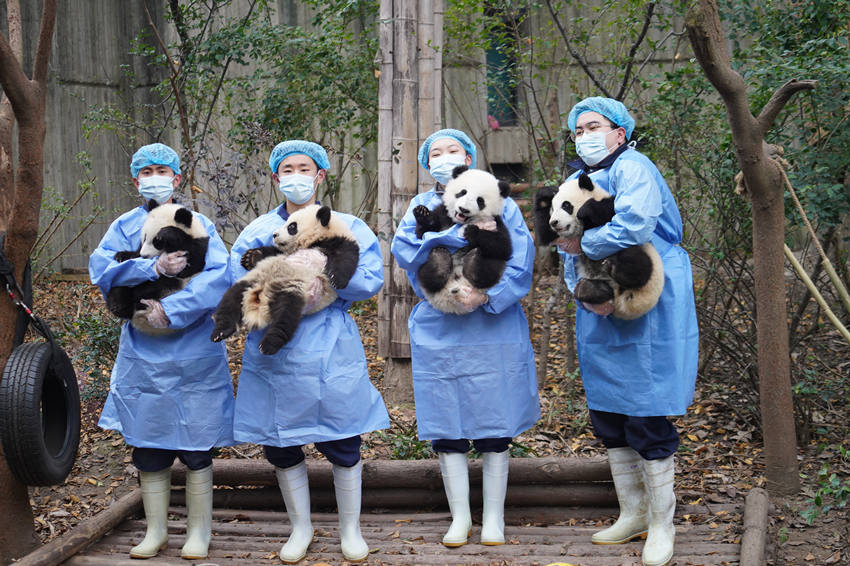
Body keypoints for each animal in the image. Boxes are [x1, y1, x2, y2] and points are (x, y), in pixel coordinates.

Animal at [528, 174, 664, 320]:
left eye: (566, 205)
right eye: (552, 209)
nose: (554, 222)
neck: (582, 226)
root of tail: (623, 304)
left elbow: (620, 215)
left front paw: (586, 209)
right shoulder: (555, 234)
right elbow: (546, 234)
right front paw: (545, 195)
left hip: (647, 258)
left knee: (637, 262)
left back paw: (616, 269)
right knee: (593, 290)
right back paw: (590, 289)